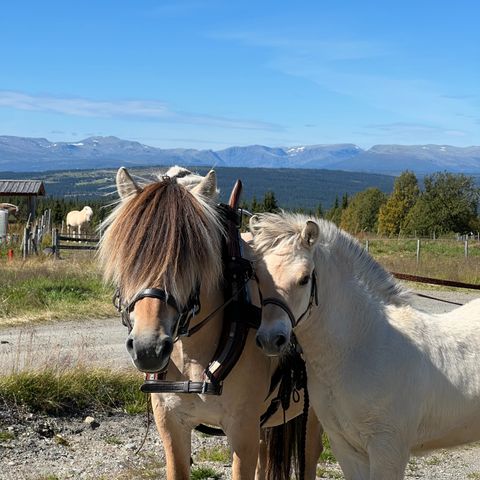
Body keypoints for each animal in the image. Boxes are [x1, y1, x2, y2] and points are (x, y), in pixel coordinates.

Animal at [97, 169, 322, 480]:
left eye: (189, 257)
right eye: (129, 257)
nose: (149, 349)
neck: (194, 357)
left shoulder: (243, 432)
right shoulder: (172, 427)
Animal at [249, 213, 480, 480]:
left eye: (304, 278)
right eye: (257, 276)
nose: (270, 339)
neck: (362, 346)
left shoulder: (388, 448)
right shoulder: (345, 447)